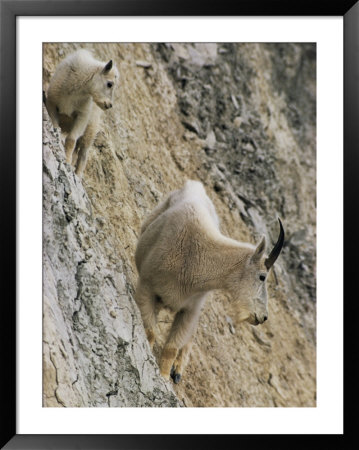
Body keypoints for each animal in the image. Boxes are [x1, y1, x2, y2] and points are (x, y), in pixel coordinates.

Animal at [134, 179, 286, 384]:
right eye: (262, 276)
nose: (263, 317)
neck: (197, 258)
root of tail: (194, 184)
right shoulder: (146, 287)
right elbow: (149, 331)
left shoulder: (190, 309)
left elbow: (172, 347)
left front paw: (164, 377)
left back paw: (178, 370)